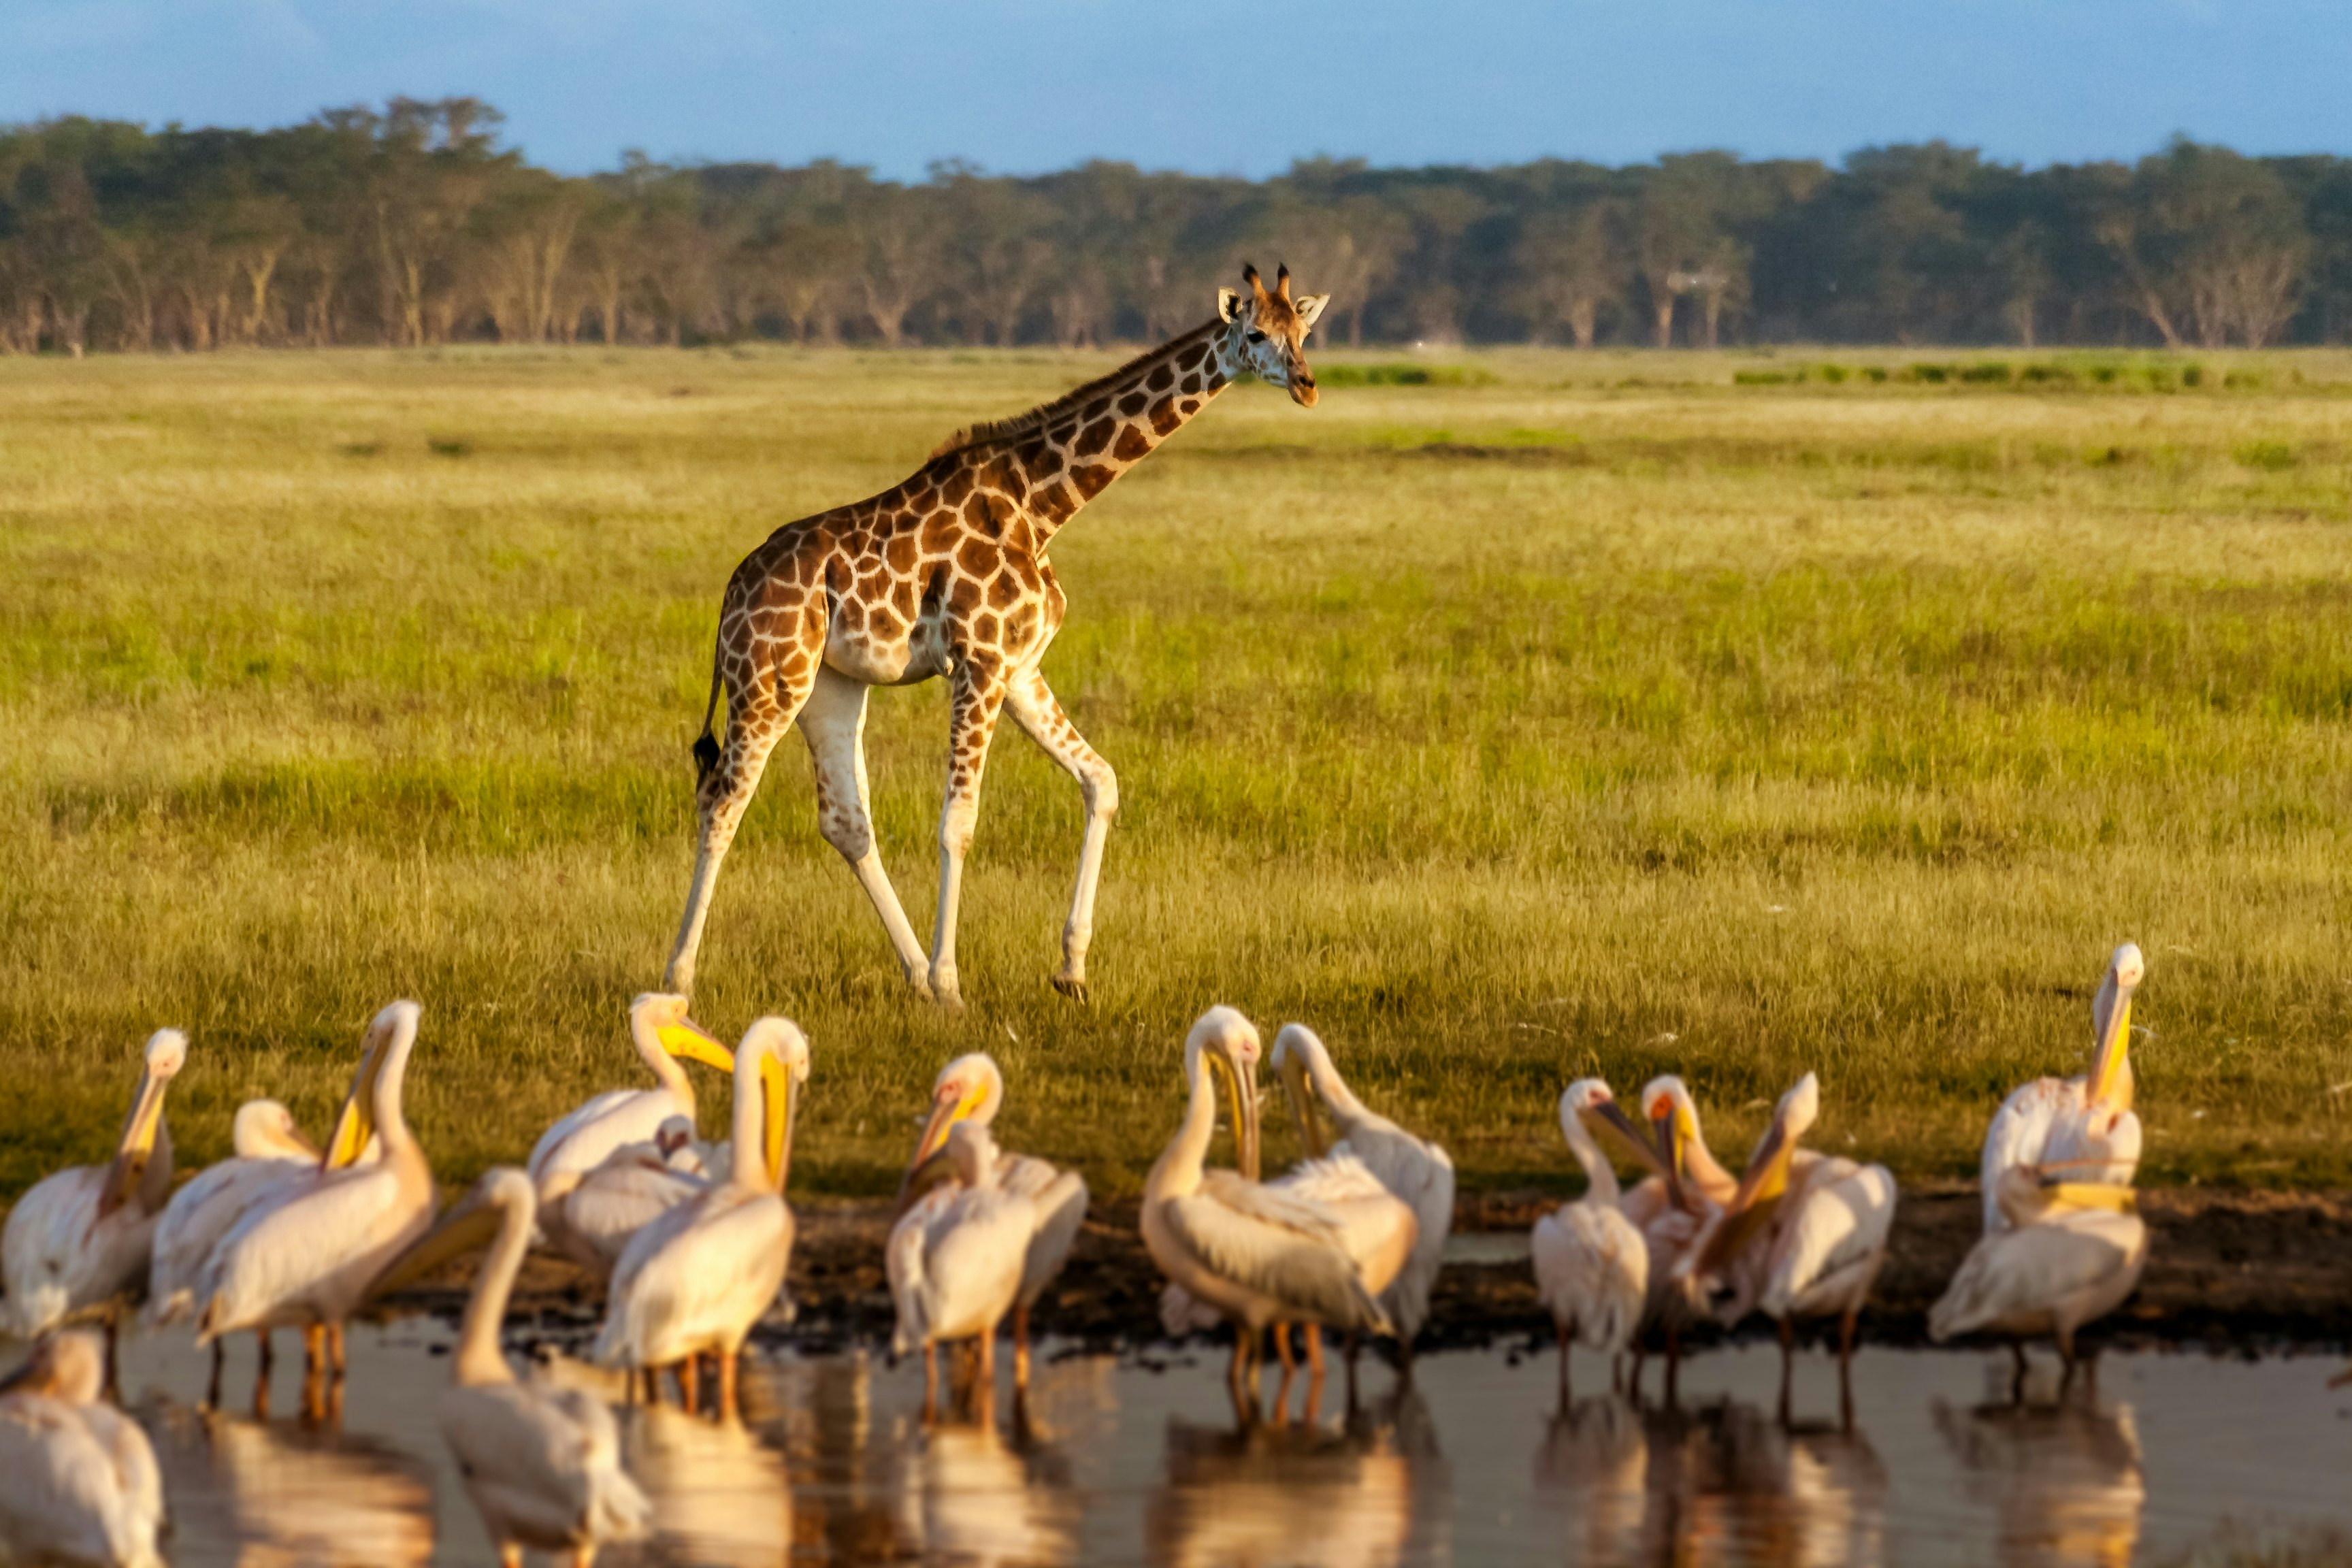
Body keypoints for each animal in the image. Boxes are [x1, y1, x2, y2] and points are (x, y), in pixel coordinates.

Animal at [664, 264, 1330, 1008]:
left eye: (1304, 332)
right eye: (1255, 334)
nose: (1307, 384)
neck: (1043, 507)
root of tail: (732, 593)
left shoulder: (1018, 666)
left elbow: (1102, 781)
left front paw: (1071, 969)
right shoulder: (978, 663)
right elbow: (959, 824)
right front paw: (953, 983)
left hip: (828, 687)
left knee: (845, 822)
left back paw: (910, 975)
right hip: (767, 679)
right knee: (722, 803)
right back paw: (679, 980)